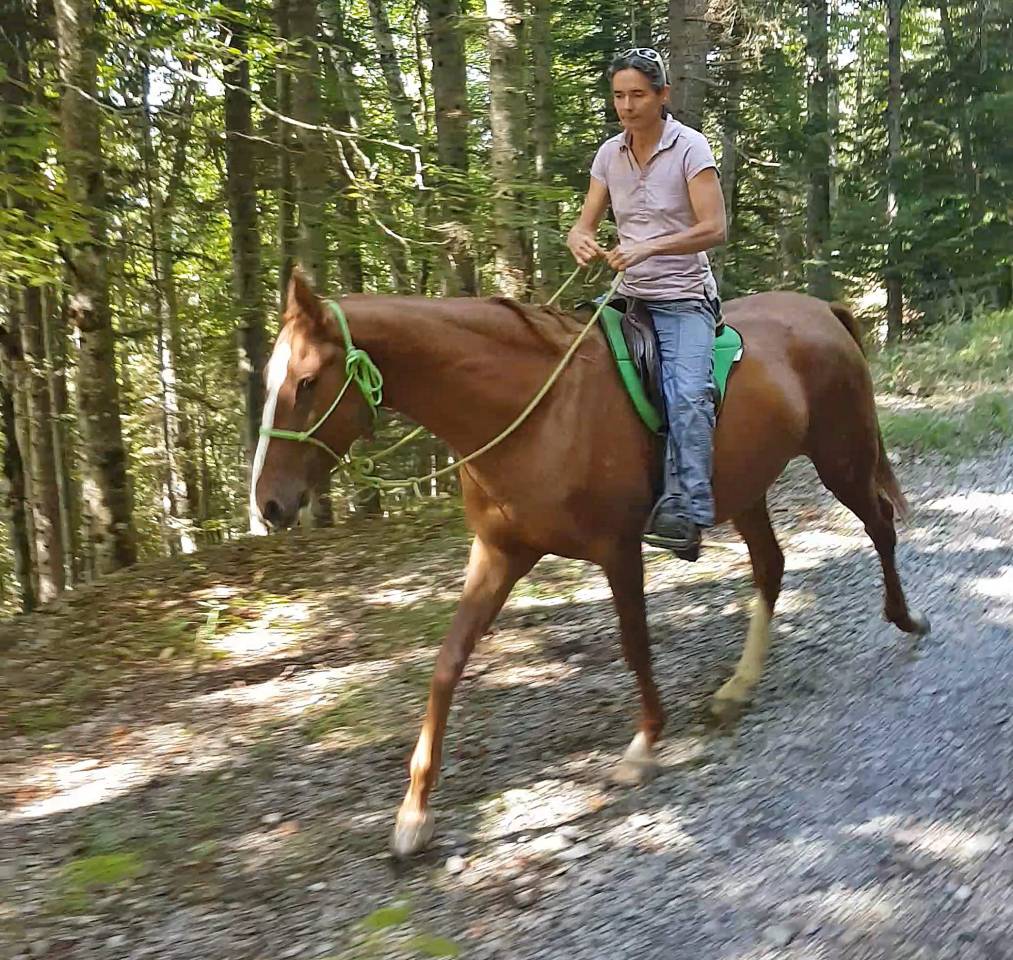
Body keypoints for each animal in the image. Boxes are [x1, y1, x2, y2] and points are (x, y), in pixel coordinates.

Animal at [252, 270, 929, 857]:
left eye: (307, 382)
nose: (269, 503)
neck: (529, 410)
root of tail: (823, 312)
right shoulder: (498, 554)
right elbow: (447, 665)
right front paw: (414, 813)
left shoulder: (617, 548)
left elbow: (634, 642)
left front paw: (644, 744)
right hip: (748, 489)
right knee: (771, 565)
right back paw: (738, 687)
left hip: (840, 454)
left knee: (878, 525)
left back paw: (906, 619)